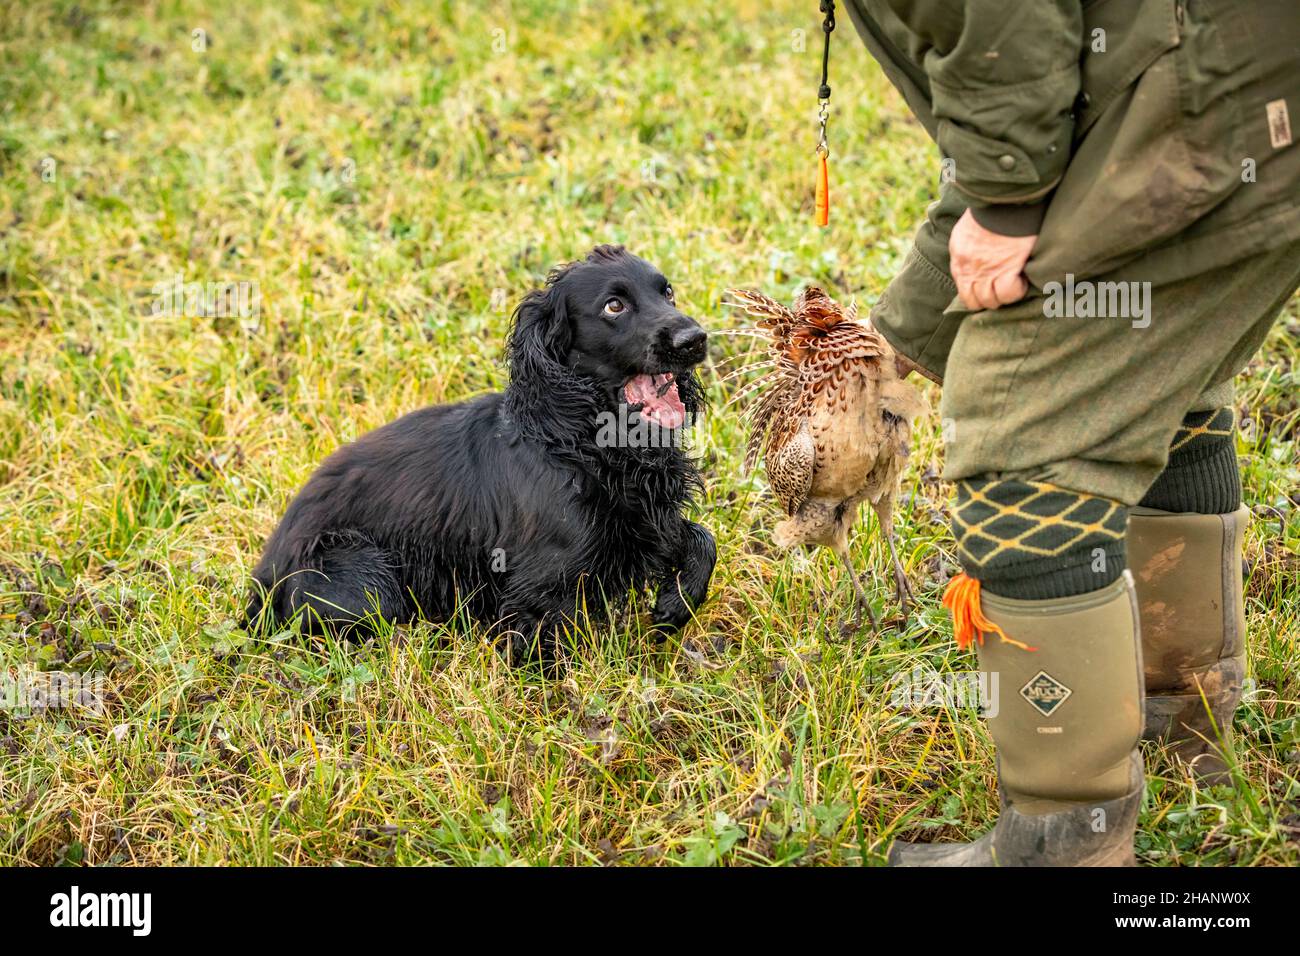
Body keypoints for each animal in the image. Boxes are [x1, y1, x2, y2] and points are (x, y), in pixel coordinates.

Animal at [239, 247, 717, 660]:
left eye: (667, 292)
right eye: (614, 306)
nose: (695, 340)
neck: (581, 440)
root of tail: (264, 575)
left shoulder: (649, 521)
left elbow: (702, 538)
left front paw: (676, 602)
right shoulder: (543, 583)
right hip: (365, 574)